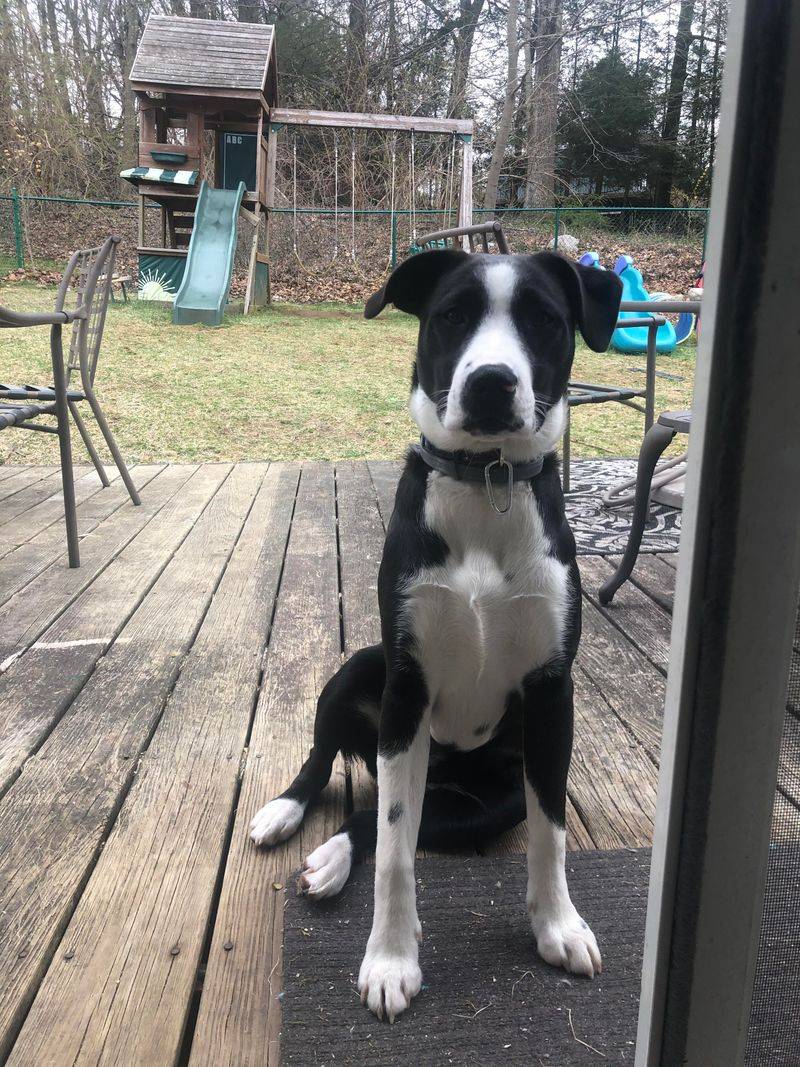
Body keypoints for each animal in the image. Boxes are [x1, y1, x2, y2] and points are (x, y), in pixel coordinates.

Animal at [250, 245, 618, 1020]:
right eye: (451, 314)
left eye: (545, 319)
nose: (490, 383)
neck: (487, 484)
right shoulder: (407, 690)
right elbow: (395, 853)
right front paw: (391, 959)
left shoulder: (552, 695)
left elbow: (550, 835)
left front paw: (558, 925)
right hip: (361, 670)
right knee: (333, 769)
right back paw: (285, 814)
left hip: (482, 805)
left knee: (376, 822)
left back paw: (331, 860)